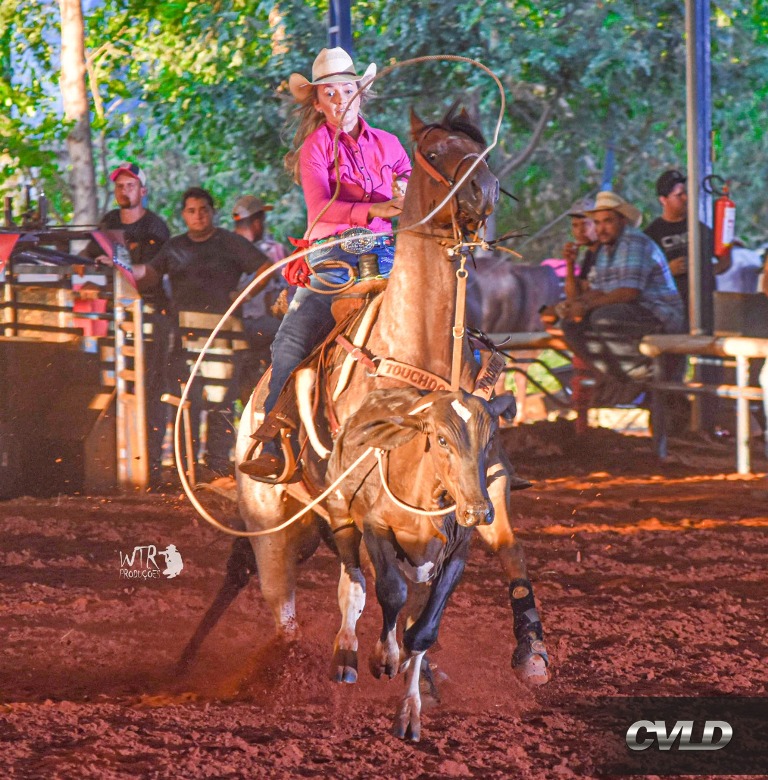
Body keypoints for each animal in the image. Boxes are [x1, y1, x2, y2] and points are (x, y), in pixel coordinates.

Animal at [228, 103, 544, 688]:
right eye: (435, 152)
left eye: (481, 151)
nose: (483, 192)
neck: (419, 351)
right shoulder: (371, 493)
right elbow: (388, 584)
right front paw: (385, 653)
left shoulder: (483, 478)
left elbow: (509, 552)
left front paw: (531, 648)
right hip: (271, 526)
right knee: (290, 602)